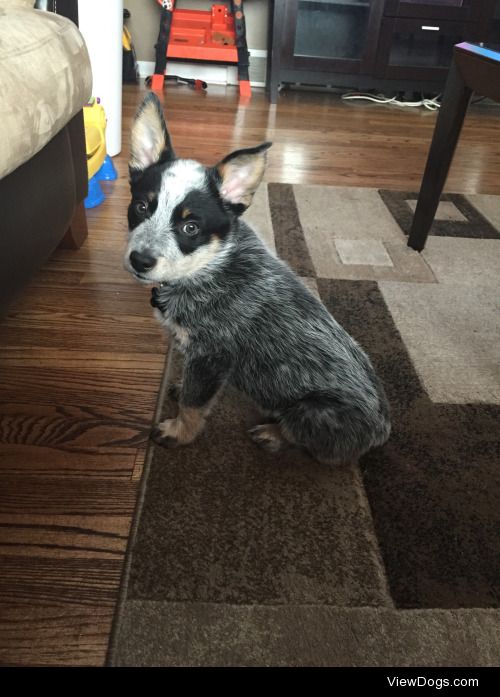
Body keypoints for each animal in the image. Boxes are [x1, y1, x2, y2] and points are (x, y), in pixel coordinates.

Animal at [125, 92, 390, 462]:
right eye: (141, 207)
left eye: (190, 227)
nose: (140, 259)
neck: (209, 268)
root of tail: (383, 430)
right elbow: (193, 389)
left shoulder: (211, 355)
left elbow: (193, 403)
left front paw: (179, 432)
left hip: (312, 411)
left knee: (308, 440)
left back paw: (273, 434)